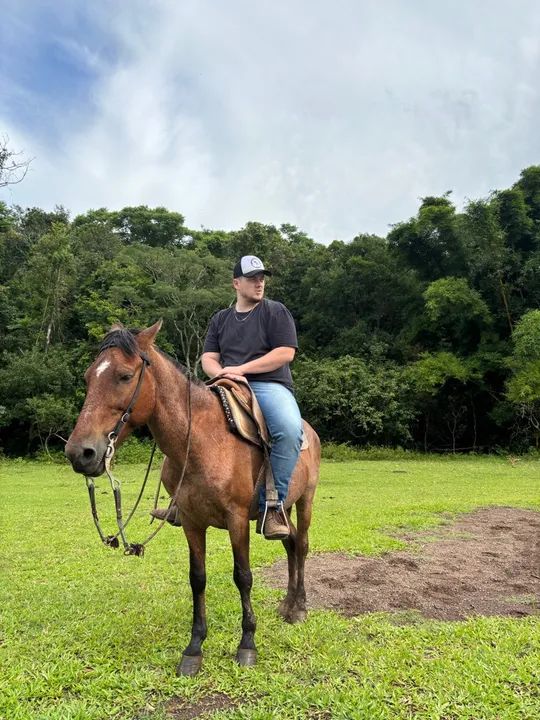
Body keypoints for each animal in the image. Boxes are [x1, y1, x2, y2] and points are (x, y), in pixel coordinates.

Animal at [65, 321, 320, 676]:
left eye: (125, 376)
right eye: (89, 377)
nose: (80, 453)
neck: (201, 440)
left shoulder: (237, 519)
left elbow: (243, 577)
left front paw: (247, 644)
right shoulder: (191, 521)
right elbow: (197, 579)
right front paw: (194, 648)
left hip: (305, 499)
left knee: (303, 544)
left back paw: (300, 608)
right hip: (277, 513)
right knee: (291, 543)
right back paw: (287, 604)